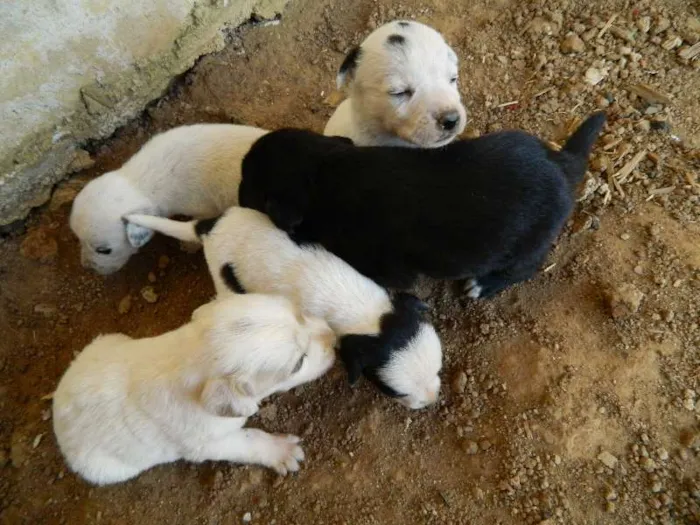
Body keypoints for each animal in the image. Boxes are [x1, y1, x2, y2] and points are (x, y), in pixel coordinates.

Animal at [50, 292, 334, 486]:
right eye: (298, 363)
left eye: (300, 313)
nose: (334, 338)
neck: (187, 357)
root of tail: (57, 412)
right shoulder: (207, 444)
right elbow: (248, 439)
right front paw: (281, 451)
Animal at [70, 123, 268, 274]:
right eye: (78, 239)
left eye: (104, 250)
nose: (87, 268)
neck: (143, 179)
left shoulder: (204, 209)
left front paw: (189, 246)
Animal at [125, 206, 440, 410]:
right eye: (393, 392)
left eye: (439, 368)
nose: (432, 399)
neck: (363, 311)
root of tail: (209, 226)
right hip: (223, 274)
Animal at [238, 112, 604, 296]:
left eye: (248, 183)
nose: (237, 198)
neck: (324, 172)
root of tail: (560, 163)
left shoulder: (383, 267)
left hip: (528, 242)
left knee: (526, 268)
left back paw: (484, 285)